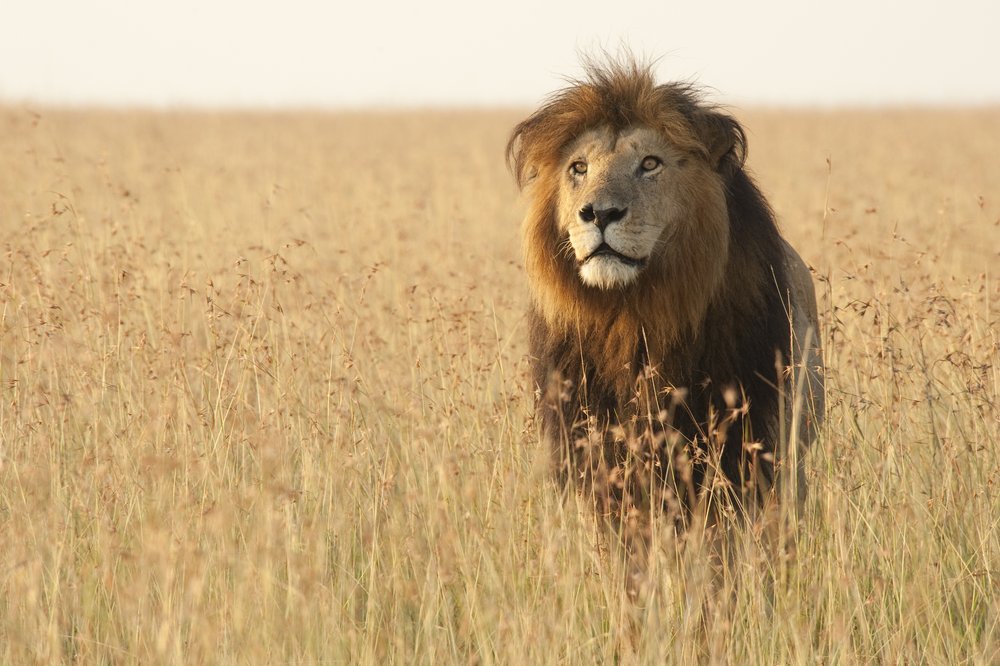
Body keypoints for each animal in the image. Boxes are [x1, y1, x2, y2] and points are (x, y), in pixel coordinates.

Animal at [508, 59, 824, 540]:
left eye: (650, 163)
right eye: (579, 168)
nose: (599, 213)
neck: (632, 317)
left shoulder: (736, 446)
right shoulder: (594, 451)